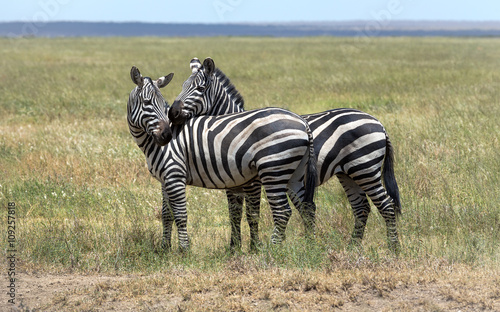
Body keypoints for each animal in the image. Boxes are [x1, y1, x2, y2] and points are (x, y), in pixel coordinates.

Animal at [127, 66, 318, 251]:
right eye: (147, 102)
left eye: (162, 103)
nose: (167, 135)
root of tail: (302, 122)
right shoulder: (165, 179)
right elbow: (166, 215)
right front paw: (164, 249)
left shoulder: (175, 175)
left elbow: (180, 215)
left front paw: (184, 251)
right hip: (294, 174)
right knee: (307, 206)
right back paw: (310, 246)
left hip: (273, 169)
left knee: (282, 212)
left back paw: (273, 250)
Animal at [169, 57, 402, 252]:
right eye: (182, 87)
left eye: (200, 88)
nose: (172, 112)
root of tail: (379, 124)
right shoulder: (232, 183)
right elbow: (234, 215)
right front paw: (233, 249)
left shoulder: (253, 182)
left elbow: (251, 215)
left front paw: (253, 248)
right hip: (348, 172)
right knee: (361, 207)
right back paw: (353, 246)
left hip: (365, 168)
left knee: (386, 205)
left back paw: (393, 247)